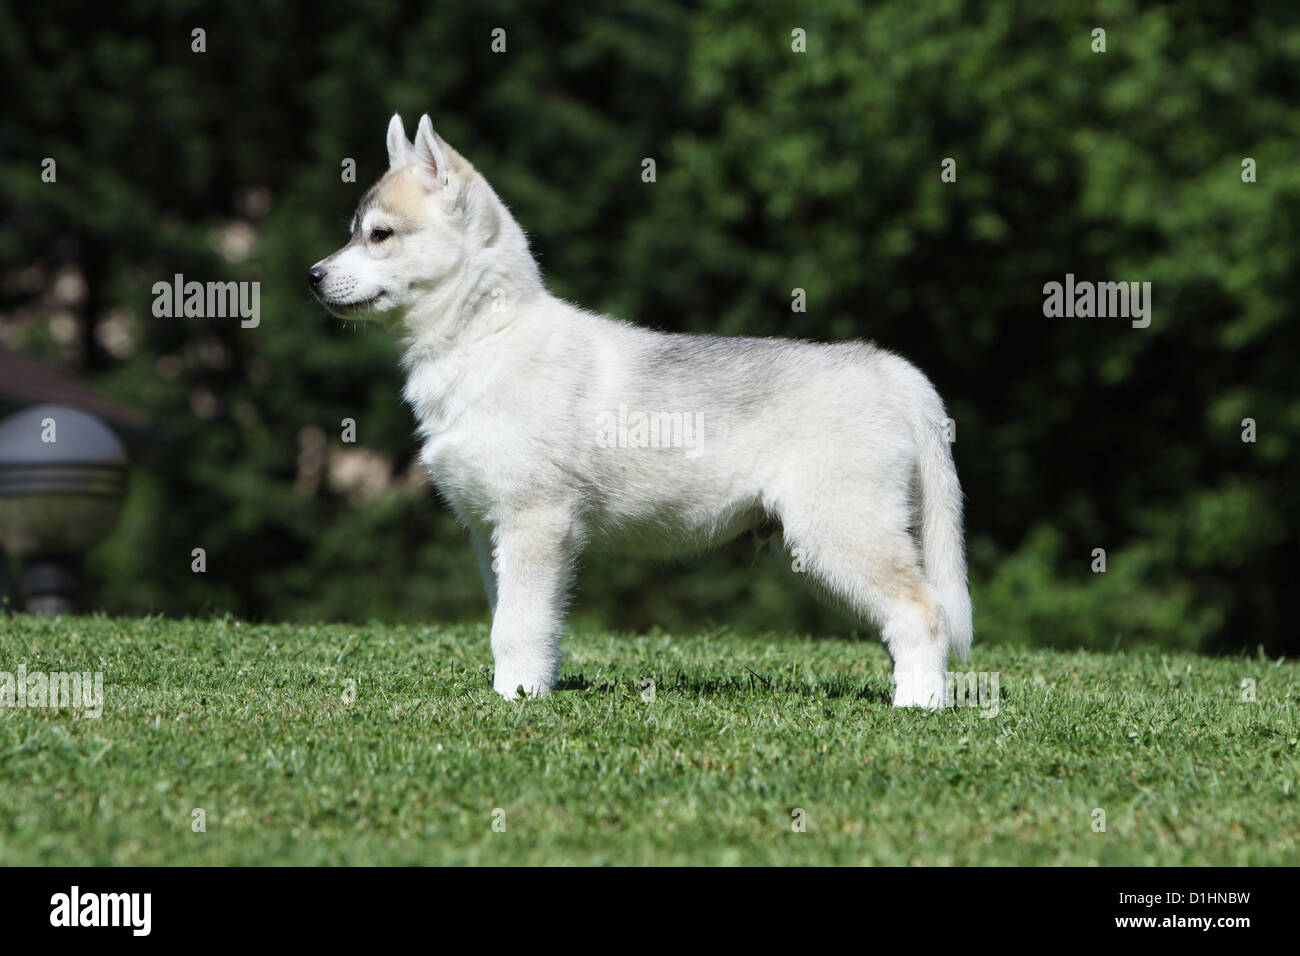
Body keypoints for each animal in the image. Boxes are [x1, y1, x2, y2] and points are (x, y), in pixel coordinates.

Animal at [309, 115, 972, 707]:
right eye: (353, 233)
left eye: (379, 235)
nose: (311, 276)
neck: (486, 338)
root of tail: (892, 369)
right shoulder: (487, 531)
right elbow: (513, 622)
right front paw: (524, 688)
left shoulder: (536, 522)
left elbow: (518, 627)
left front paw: (515, 700)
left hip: (838, 533)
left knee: (924, 613)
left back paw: (919, 705)